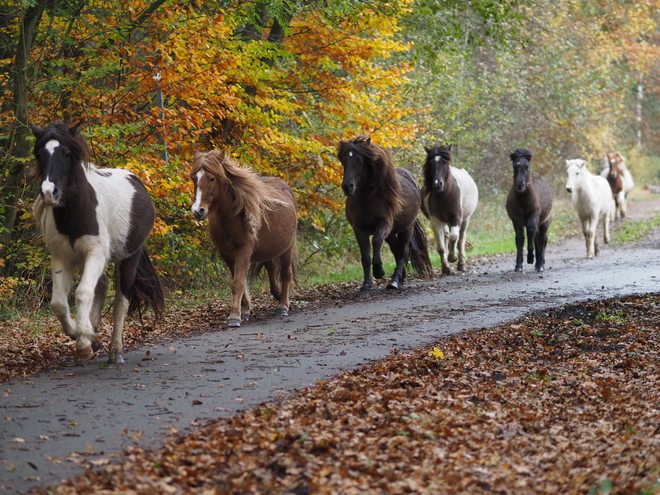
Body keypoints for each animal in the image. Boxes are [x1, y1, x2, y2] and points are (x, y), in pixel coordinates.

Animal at [30, 123, 165, 364]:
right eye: (39, 154)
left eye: (67, 154)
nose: (48, 193)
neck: (75, 213)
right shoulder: (62, 257)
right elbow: (59, 303)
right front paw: (83, 337)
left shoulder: (95, 253)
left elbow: (83, 293)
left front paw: (87, 338)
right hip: (83, 260)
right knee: (102, 283)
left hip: (129, 257)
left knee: (121, 301)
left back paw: (115, 351)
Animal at [188, 151, 296, 330]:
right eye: (194, 179)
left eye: (212, 178)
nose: (198, 211)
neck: (230, 220)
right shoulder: (226, 254)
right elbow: (239, 282)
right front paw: (244, 310)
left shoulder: (243, 251)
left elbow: (237, 283)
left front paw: (234, 317)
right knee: (272, 271)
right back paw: (278, 295)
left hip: (287, 248)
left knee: (286, 274)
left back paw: (283, 305)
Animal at [422, 144, 480, 276]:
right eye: (431, 162)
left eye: (444, 162)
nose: (437, 184)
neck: (444, 195)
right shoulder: (436, 222)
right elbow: (441, 247)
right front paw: (446, 268)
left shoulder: (456, 218)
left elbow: (455, 237)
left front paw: (452, 257)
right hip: (445, 222)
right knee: (447, 236)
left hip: (465, 220)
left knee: (461, 238)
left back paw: (461, 264)